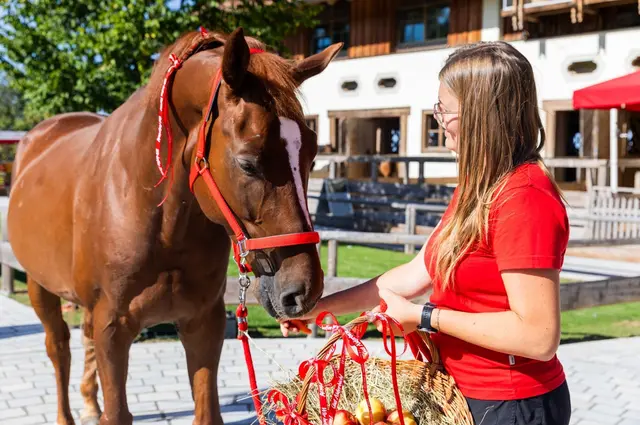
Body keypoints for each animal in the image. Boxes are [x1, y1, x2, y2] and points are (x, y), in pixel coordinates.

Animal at [7, 27, 342, 425]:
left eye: (312, 156)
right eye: (247, 163)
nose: (305, 289)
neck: (159, 221)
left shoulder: (203, 323)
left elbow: (207, 411)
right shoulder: (112, 328)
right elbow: (115, 410)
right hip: (39, 286)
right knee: (59, 347)